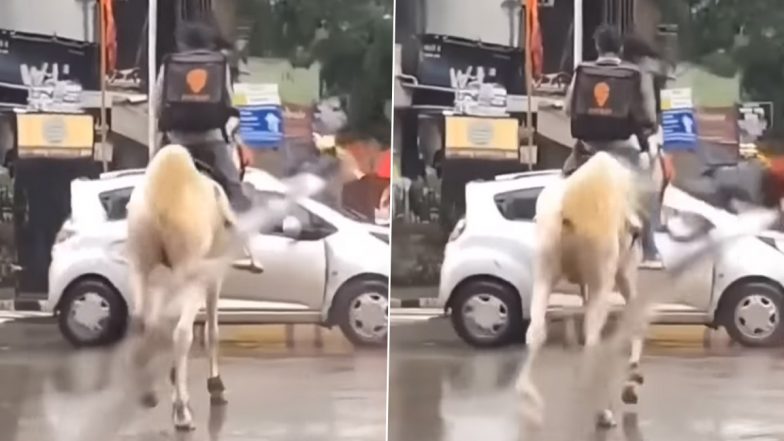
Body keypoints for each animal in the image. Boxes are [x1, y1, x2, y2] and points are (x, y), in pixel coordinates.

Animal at [516, 150, 648, 426]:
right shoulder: (624, 273)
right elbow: (634, 318)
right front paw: (631, 381)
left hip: (544, 272)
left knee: (536, 330)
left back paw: (528, 400)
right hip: (603, 278)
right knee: (593, 341)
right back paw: (602, 409)